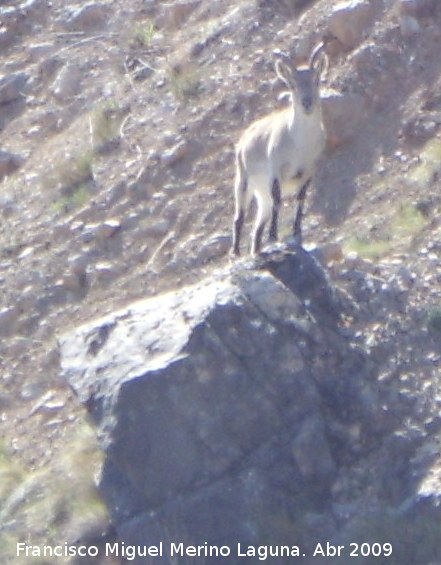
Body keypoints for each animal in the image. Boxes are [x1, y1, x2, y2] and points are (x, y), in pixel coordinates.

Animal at [230, 43, 326, 254]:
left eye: (316, 80)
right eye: (292, 84)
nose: (307, 103)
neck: (300, 144)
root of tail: (243, 139)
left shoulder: (310, 170)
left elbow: (301, 198)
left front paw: (297, 232)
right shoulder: (276, 170)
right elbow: (278, 200)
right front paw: (274, 236)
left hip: (261, 195)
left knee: (257, 228)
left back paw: (256, 250)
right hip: (243, 182)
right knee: (239, 218)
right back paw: (236, 252)